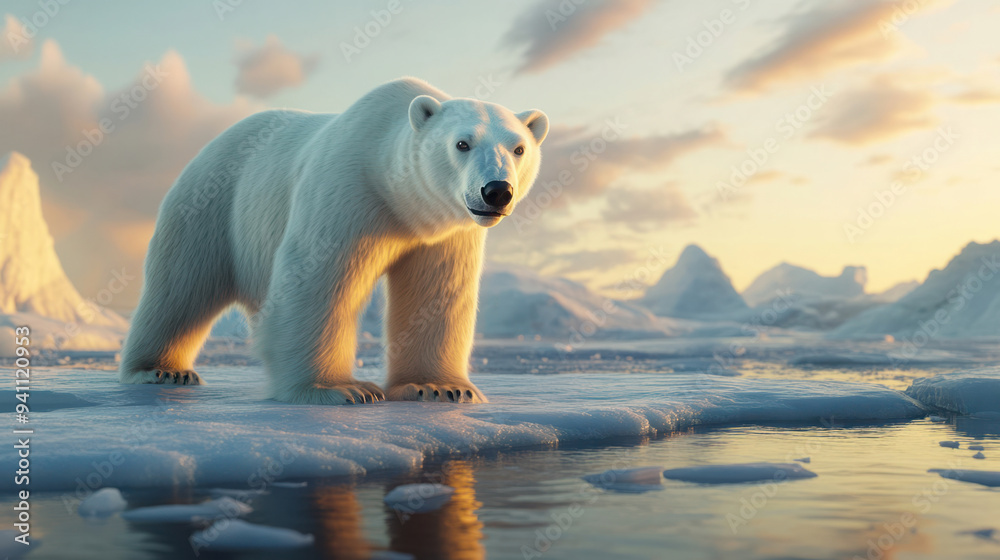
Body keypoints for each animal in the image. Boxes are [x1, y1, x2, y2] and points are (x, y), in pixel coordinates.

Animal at [117, 77, 549, 405]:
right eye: (462, 143)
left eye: (518, 148)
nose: (497, 191)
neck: (396, 195)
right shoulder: (348, 190)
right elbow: (319, 279)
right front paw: (342, 389)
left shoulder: (443, 232)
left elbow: (436, 294)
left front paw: (440, 387)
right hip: (212, 206)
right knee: (181, 287)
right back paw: (162, 370)